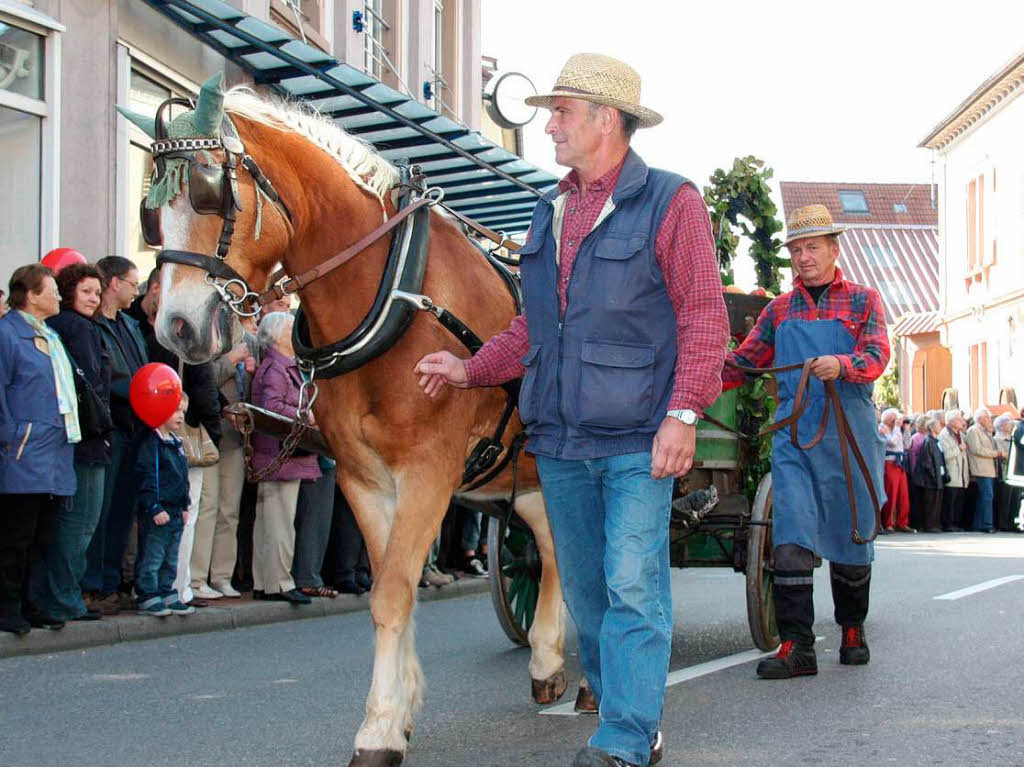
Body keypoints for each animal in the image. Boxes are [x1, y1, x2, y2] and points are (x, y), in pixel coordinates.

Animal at [119, 79, 573, 765]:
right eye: (151, 214)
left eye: (208, 190)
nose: (175, 327)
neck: (394, 297)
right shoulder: (365, 478)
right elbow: (391, 591)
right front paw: (397, 711)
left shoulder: (428, 472)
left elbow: (393, 588)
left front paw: (381, 725)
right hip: (524, 473)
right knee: (550, 545)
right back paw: (550, 659)